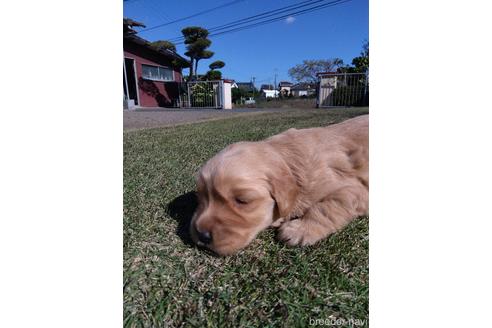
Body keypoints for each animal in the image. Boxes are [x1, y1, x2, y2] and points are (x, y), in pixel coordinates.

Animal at [190, 114, 368, 255]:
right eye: (201, 196)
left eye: (242, 201)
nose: (202, 235)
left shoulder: (354, 188)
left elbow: (326, 208)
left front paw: (298, 229)